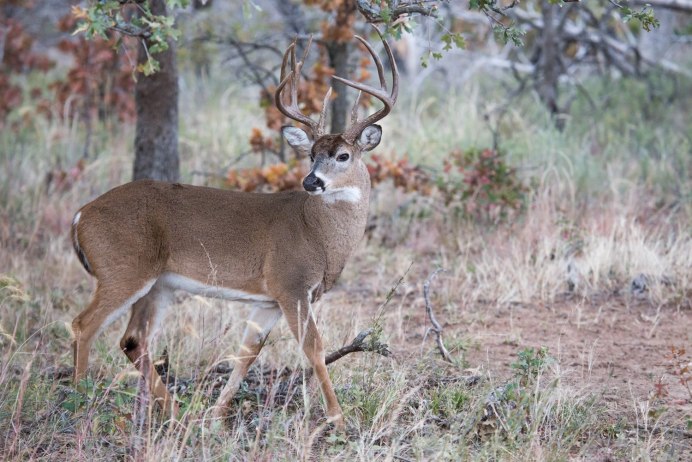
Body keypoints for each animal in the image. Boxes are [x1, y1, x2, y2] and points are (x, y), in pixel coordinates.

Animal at [70, 28, 400, 428]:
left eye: (342, 155)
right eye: (311, 154)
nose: (311, 182)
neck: (317, 235)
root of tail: (81, 216)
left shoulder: (268, 300)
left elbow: (247, 353)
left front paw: (215, 415)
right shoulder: (291, 284)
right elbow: (315, 348)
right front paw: (338, 417)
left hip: (158, 284)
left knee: (132, 340)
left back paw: (176, 412)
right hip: (122, 269)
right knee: (84, 325)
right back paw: (78, 404)